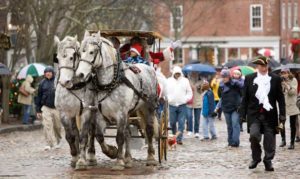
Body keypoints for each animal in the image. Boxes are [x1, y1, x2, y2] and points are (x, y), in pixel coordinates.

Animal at [54, 35, 117, 171]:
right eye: (58, 58)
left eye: (72, 57)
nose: (64, 82)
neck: (75, 87)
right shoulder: (64, 113)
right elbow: (70, 137)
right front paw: (74, 157)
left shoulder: (87, 111)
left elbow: (84, 136)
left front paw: (82, 161)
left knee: (92, 133)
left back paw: (91, 156)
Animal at [73, 31, 159, 169]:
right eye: (80, 53)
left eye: (92, 52)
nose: (80, 74)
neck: (110, 82)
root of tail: (148, 67)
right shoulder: (98, 112)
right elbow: (98, 135)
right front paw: (112, 152)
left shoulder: (121, 113)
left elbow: (119, 137)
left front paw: (118, 162)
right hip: (130, 112)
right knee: (128, 133)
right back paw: (128, 159)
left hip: (148, 107)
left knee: (149, 130)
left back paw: (150, 158)